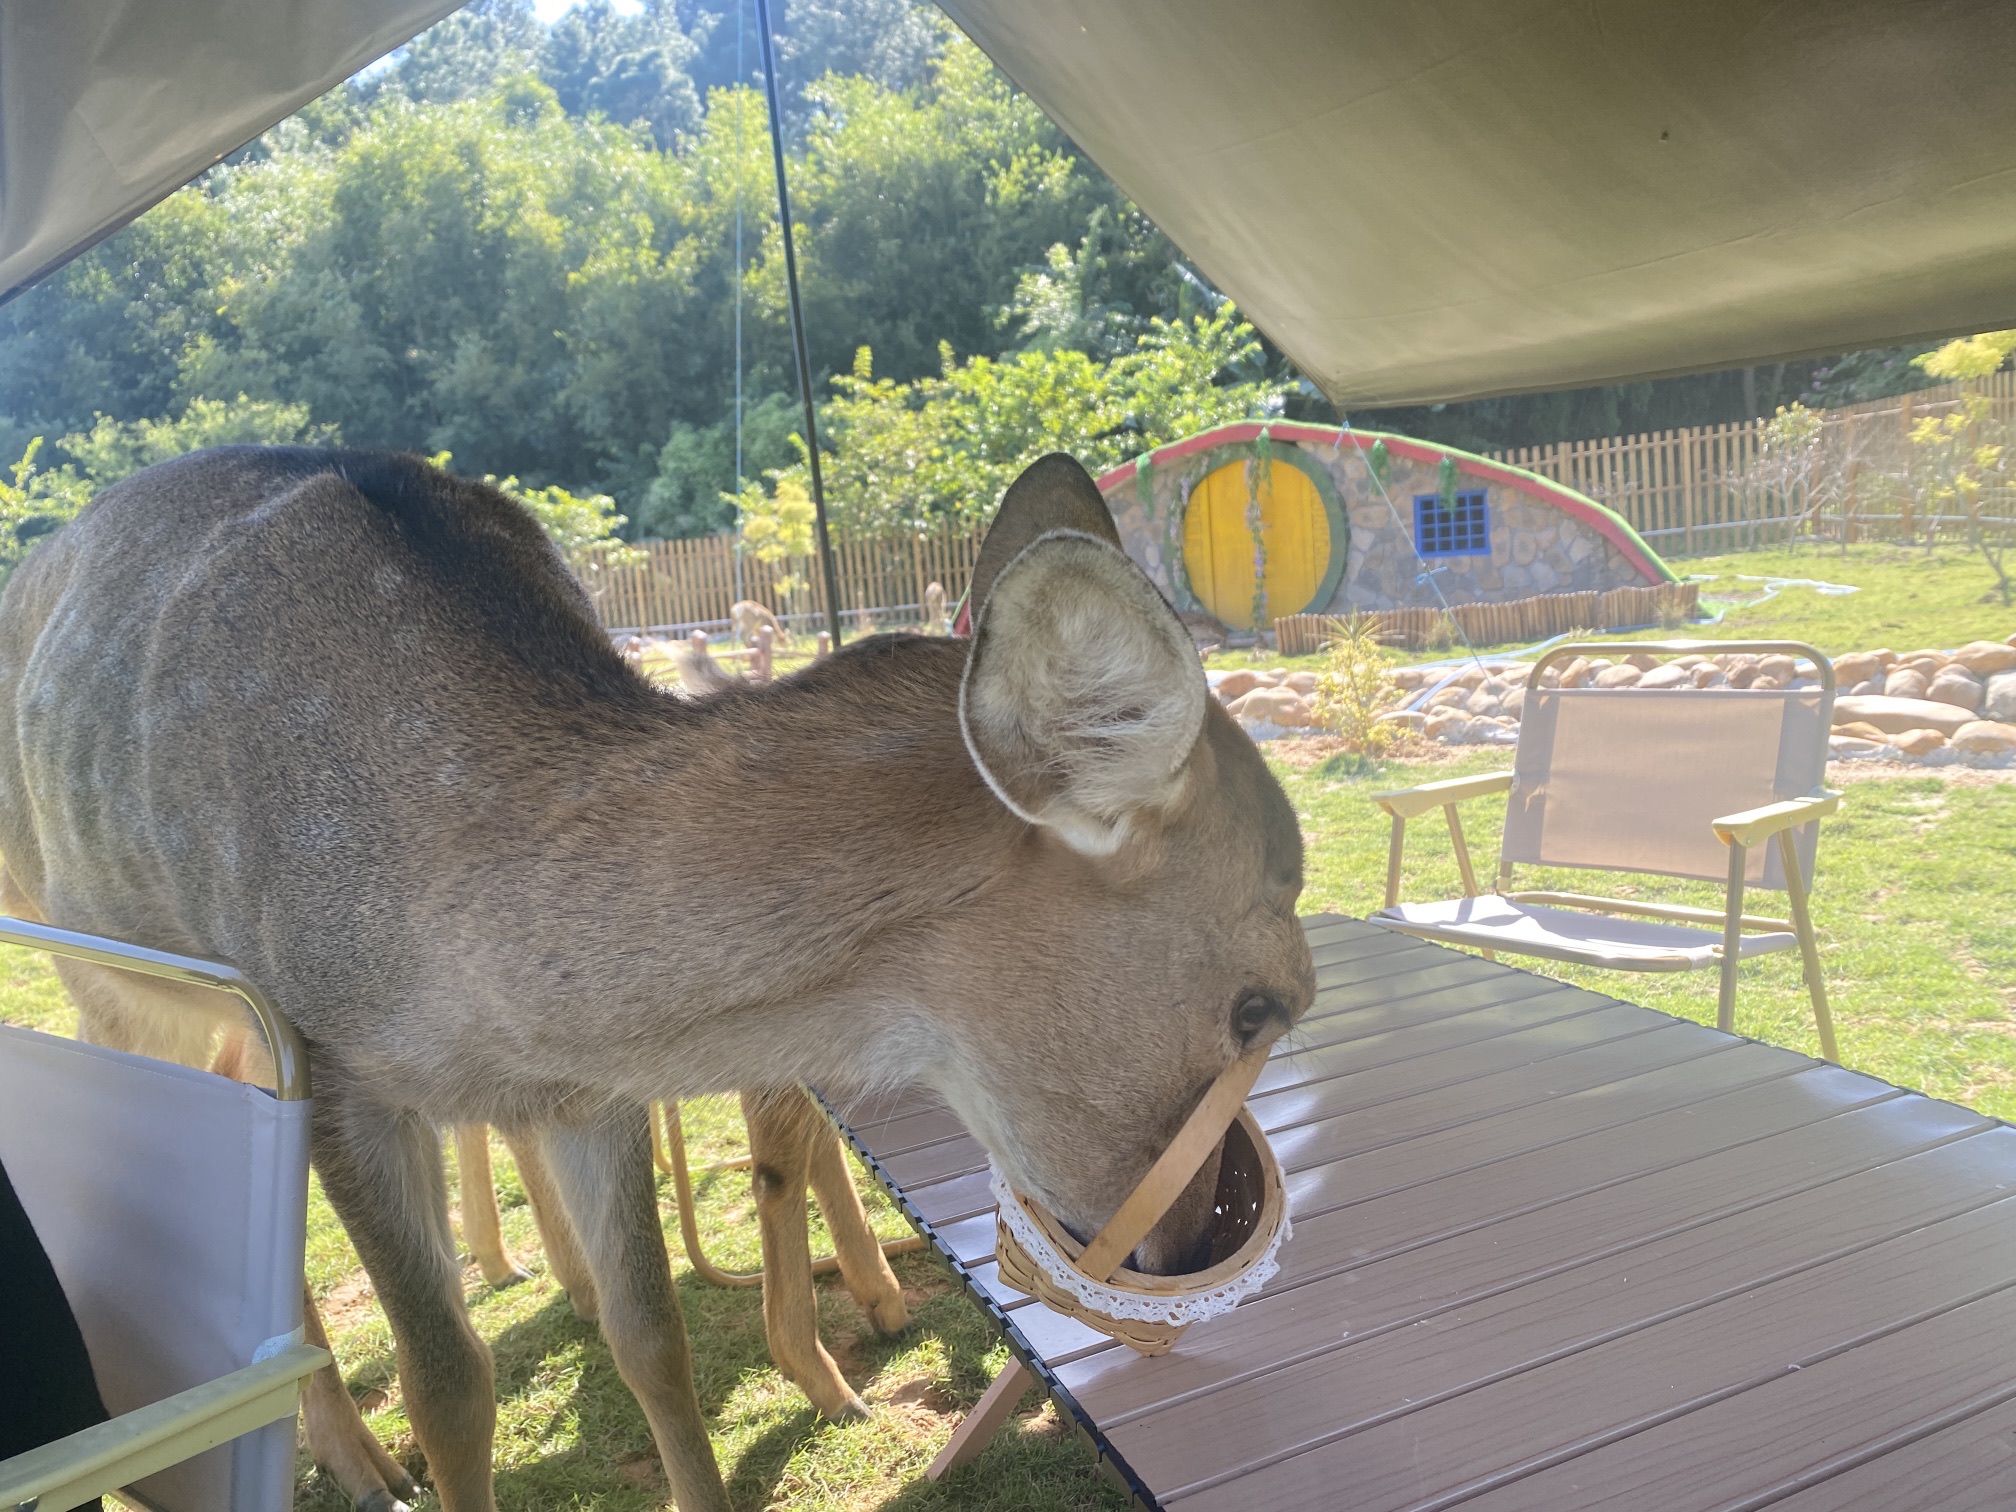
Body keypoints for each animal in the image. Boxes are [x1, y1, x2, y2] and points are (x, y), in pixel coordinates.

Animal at [0, 446, 1313, 1512]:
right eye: (1263, 1003)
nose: (1185, 1253)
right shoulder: (332, 1060)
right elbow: (447, 1384)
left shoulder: (593, 1086)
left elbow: (655, 1333)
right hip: (109, 968)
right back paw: (360, 1462)